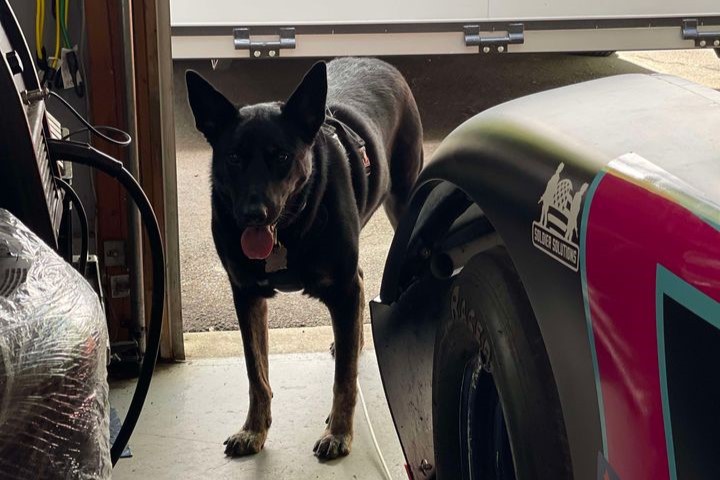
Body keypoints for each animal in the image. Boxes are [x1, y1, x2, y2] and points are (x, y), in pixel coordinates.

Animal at [186, 58, 424, 460]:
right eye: (233, 157)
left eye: (281, 156)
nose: (253, 214)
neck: (287, 230)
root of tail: (380, 63)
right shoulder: (246, 294)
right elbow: (256, 373)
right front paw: (254, 430)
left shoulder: (342, 289)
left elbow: (344, 380)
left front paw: (339, 432)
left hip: (402, 199)